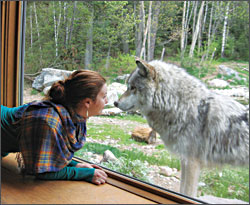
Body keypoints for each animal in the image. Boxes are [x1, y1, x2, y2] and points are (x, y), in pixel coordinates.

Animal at [114, 57, 249, 197]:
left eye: (132, 88)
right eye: (128, 87)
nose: (115, 102)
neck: (180, 106)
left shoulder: (191, 163)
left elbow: (187, 193)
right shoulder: (185, 160)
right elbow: (182, 189)